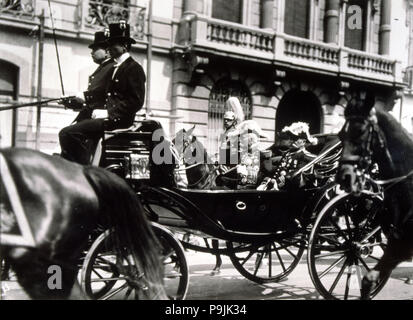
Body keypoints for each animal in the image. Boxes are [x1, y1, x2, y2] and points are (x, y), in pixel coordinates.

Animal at [334, 92, 412, 300]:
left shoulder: (403, 245)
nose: (344, 177)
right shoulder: (397, 243)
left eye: (360, 131)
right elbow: (368, 279)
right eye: (340, 135)